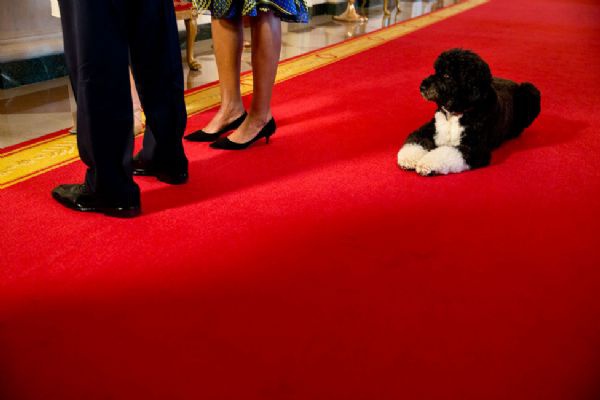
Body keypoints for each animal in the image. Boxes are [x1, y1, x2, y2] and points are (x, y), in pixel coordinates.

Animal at [396, 48, 540, 175]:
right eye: (436, 71)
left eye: (446, 75)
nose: (422, 87)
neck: (455, 114)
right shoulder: (431, 127)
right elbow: (417, 138)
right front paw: (408, 157)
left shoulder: (475, 148)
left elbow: (448, 152)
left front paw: (427, 163)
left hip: (530, 90)